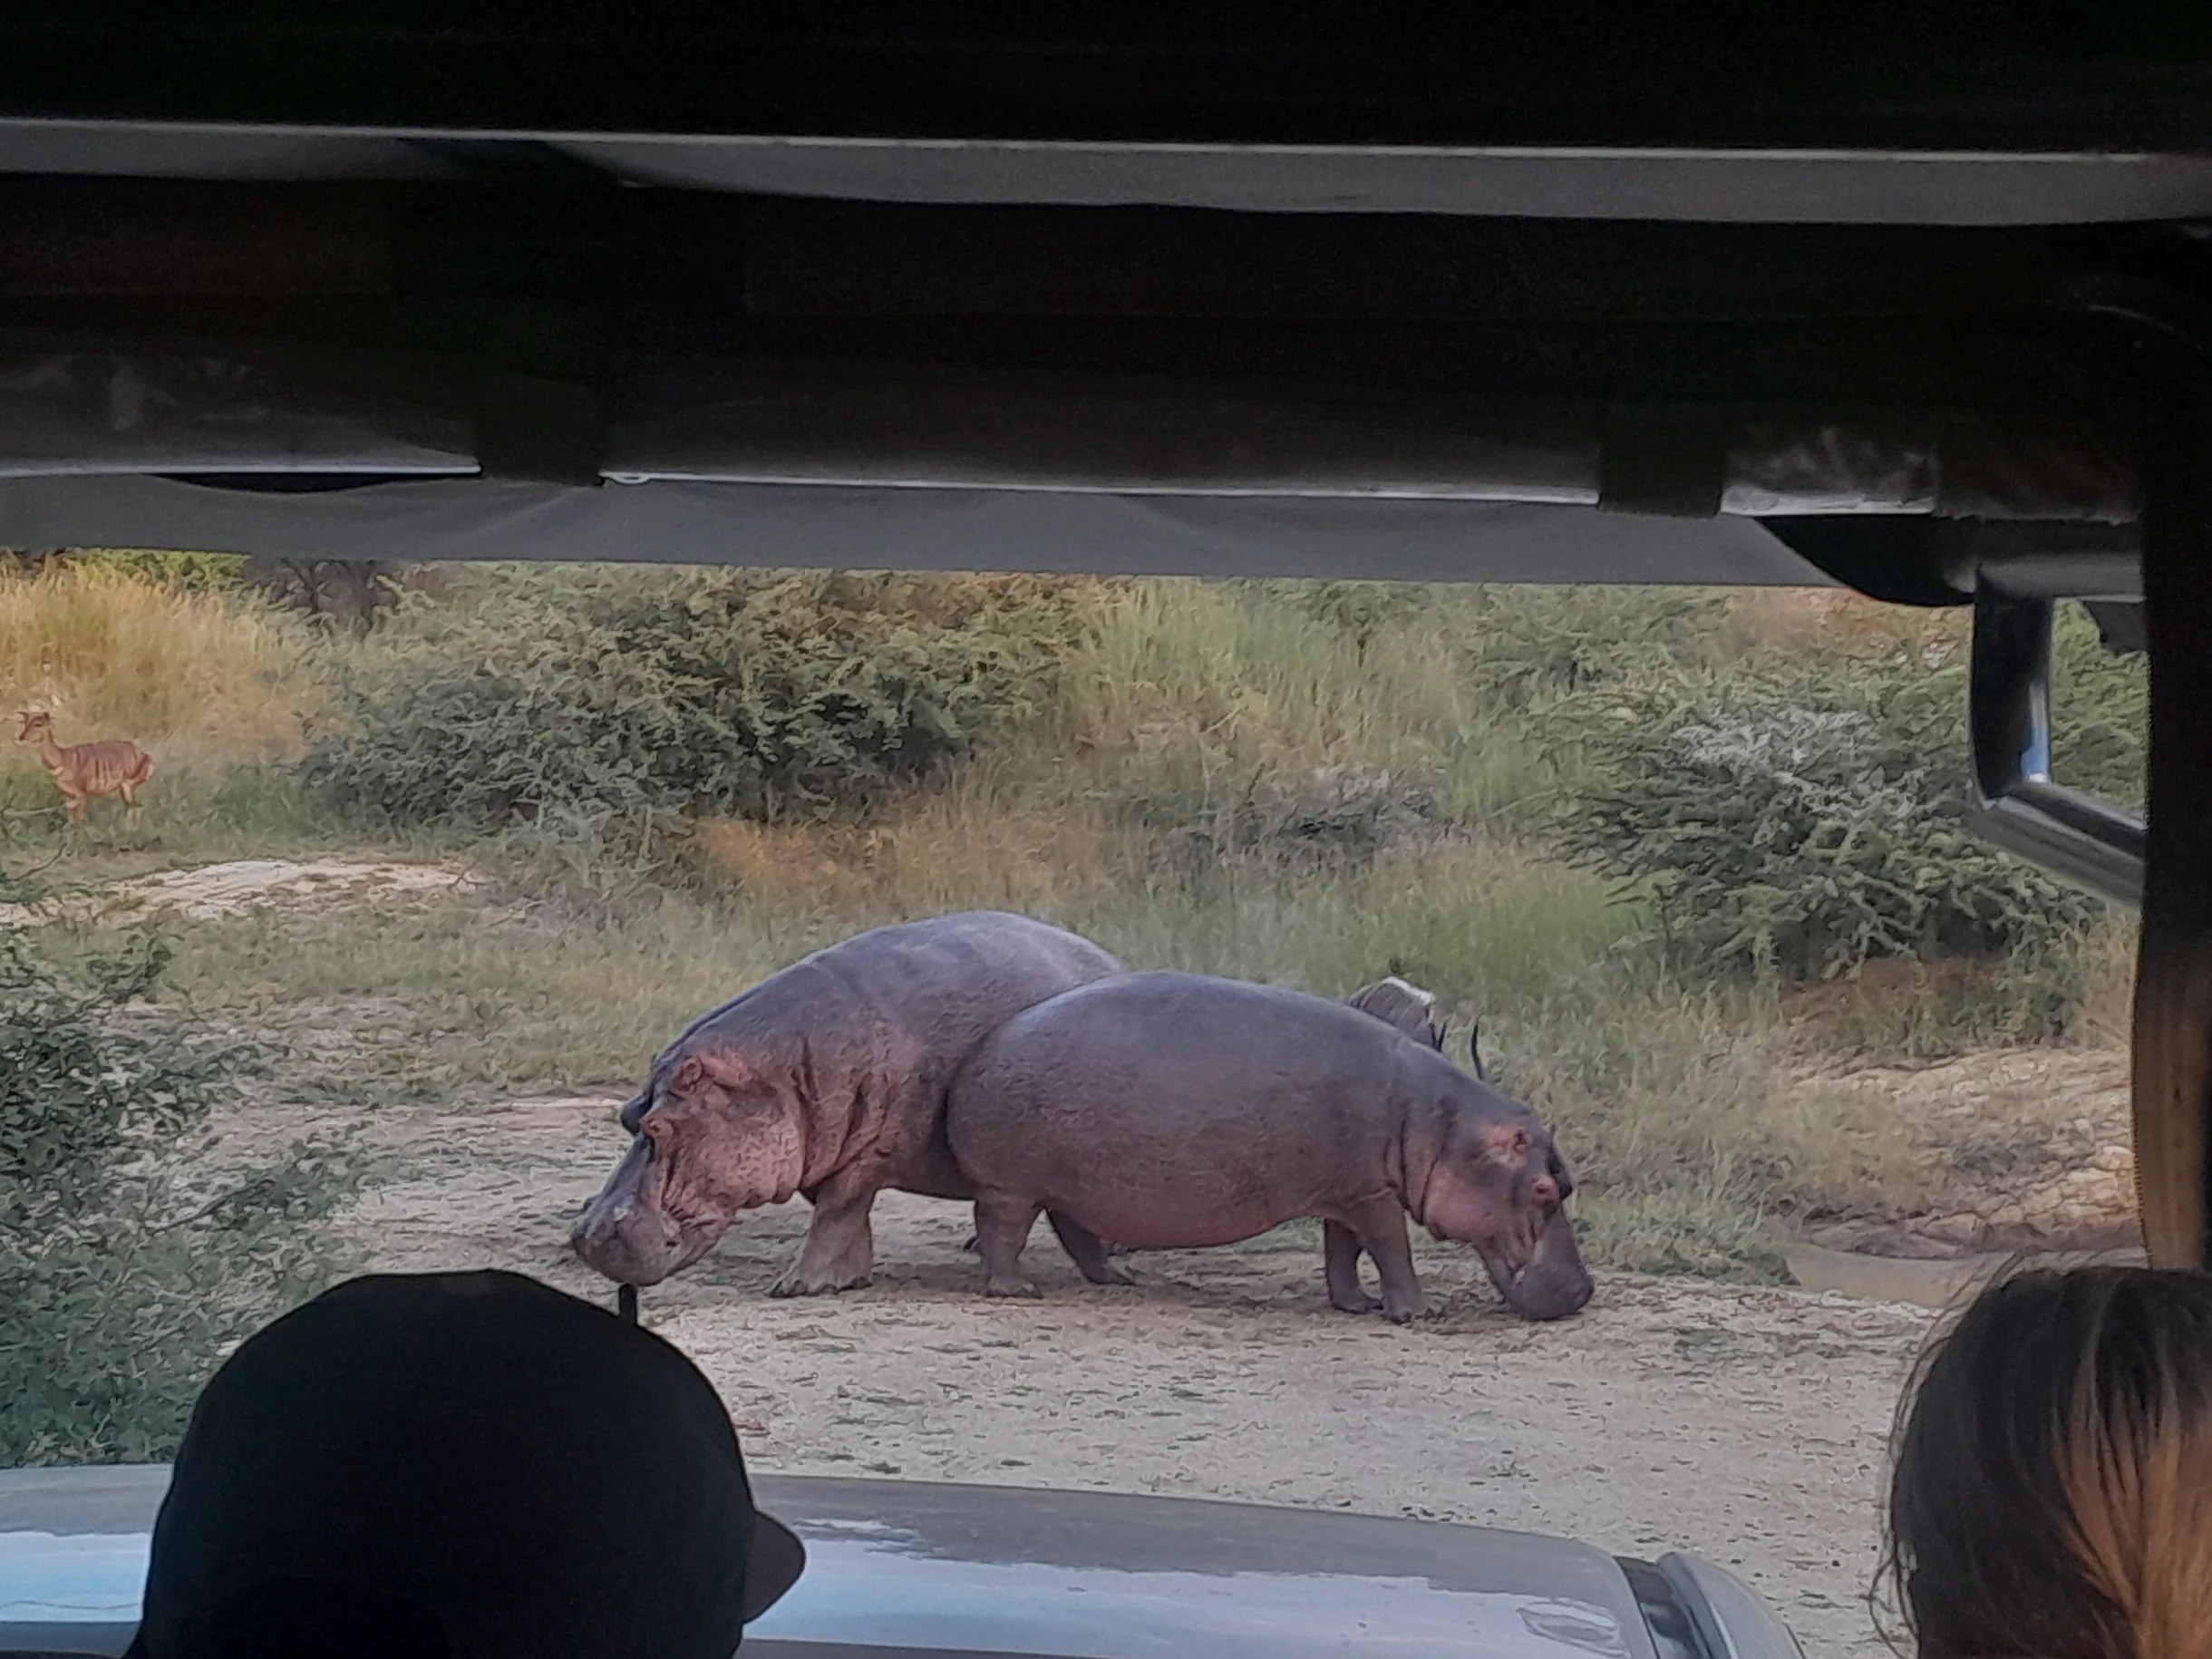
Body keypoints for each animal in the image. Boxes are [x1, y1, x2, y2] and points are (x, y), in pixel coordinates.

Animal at [572, 911, 1122, 1295]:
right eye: (628, 1116)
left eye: (661, 1127)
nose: (586, 1236)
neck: (779, 1074)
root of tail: (1107, 956)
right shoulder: (819, 1152)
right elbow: (845, 1220)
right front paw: (852, 1278)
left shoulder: (867, 1154)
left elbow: (836, 1215)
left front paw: (795, 1287)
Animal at [945, 971, 1593, 1322]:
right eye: (1542, 1188)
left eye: (1568, 1183)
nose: (1584, 1290)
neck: (1441, 1126)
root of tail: (986, 1045)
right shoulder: (1372, 1196)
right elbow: (1391, 1249)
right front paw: (1419, 1312)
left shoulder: (1349, 1191)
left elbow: (1343, 1253)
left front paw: (1356, 1305)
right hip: (1011, 1185)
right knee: (1002, 1233)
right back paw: (1016, 1289)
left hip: (1071, 1186)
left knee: (1075, 1232)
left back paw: (1119, 1279)